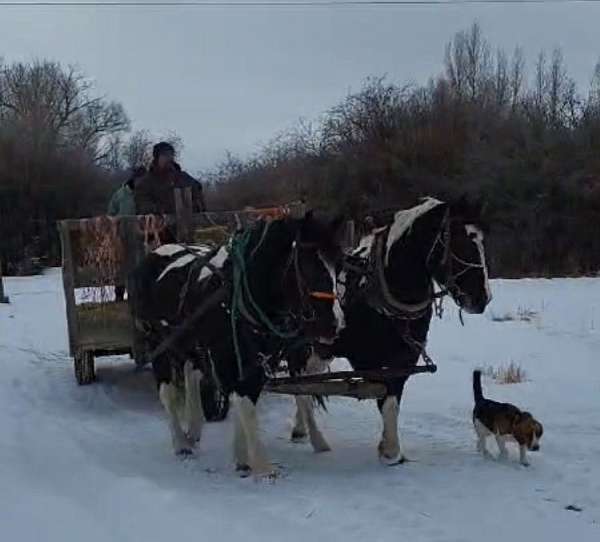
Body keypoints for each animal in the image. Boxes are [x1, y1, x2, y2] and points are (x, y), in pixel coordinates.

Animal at [131, 212, 346, 476]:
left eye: (339, 266)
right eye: (306, 265)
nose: (334, 324)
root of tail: (156, 251)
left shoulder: (260, 359)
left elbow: (249, 396)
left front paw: (242, 456)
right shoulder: (227, 358)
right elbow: (244, 402)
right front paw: (262, 465)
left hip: (190, 345)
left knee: (191, 374)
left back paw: (194, 429)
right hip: (158, 343)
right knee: (167, 392)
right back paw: (181, 443)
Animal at [290, 198, 492, 466]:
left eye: (482, 242)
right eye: (460, 242)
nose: (482, 299)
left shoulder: (405, 357)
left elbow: (392, 398)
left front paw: (389, 448)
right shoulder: (367, 359)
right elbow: (382, 395)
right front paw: (389, 449)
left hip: (323, 348)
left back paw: (301, 428)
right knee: (299, 383)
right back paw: (313, 436)